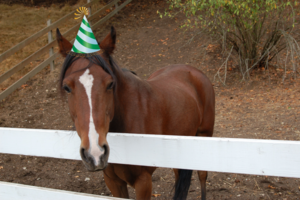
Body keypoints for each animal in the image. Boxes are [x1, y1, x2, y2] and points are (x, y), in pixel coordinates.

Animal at [56, 26, 214, 200]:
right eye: (66, 87)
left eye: (110, 84)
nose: (95, 153)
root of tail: (193, 71)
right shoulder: (113, 181)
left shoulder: (143, 182)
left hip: (205, 135)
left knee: (202, 175)